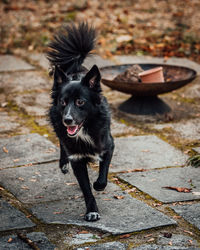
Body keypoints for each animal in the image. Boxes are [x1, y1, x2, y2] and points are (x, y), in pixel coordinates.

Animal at [46, 23, 114, 221]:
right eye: (63, 102)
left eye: (80, 102)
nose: (67, 120)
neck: (85, 130)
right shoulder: (76, 158)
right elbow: (86, 189)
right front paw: (92, 210)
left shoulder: (108, 145)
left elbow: (103, 173)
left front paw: (98, 184)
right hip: (58, 127)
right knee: (62, 143)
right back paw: (63, 164)